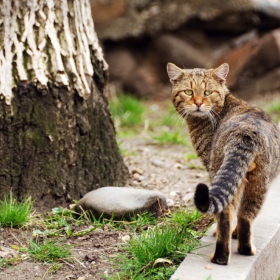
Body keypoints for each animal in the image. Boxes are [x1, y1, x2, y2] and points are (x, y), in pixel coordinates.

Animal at [166, 63, 280, 264]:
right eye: (188, 91)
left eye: (207, 92)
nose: (198, 103)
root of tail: (244, 134)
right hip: (258, 183)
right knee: (242, 215)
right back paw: (236, 252)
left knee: (232, 215)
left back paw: (224, 255)